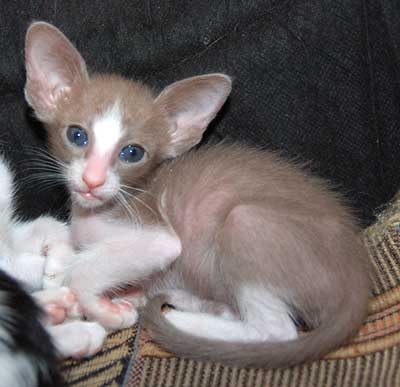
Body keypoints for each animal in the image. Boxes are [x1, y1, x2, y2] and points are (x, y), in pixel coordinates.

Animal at [23, 22, 370, 370]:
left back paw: (180, 319)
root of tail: (357, 277)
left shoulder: (156, 236)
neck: (97, 209)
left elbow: (87, 270)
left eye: (132, 153)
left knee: (276, 331)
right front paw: (57, 274)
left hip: (245, 222)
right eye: (77, 135)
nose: (92, 181)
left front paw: (102, 308)